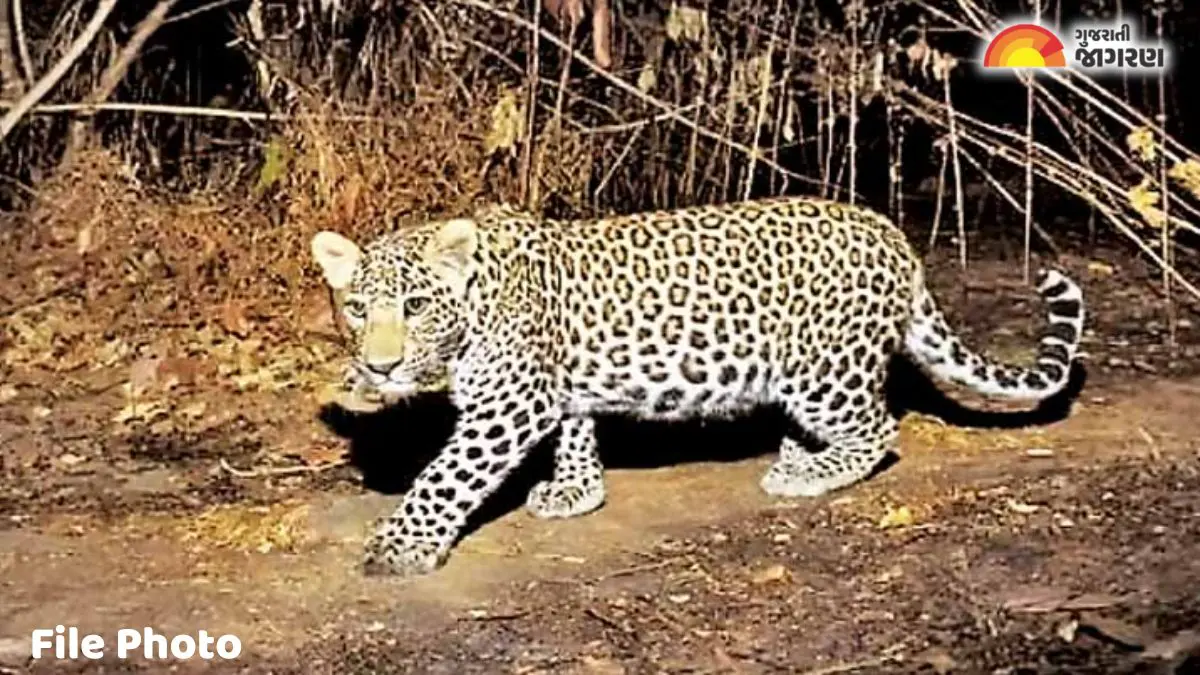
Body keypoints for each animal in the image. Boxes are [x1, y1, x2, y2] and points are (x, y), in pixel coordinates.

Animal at [310, 196, 1085, 577]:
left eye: (415, 306)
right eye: (358, 308)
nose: (380, 367)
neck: (479, 298)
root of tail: (896, 239)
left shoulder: (509, 406)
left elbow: (443, 478)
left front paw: (398, 548)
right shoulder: (558, 388)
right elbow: (576, 433)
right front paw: (577, 490)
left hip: (822, 370)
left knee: (879, 429)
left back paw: (809, 473)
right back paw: (801, 455)